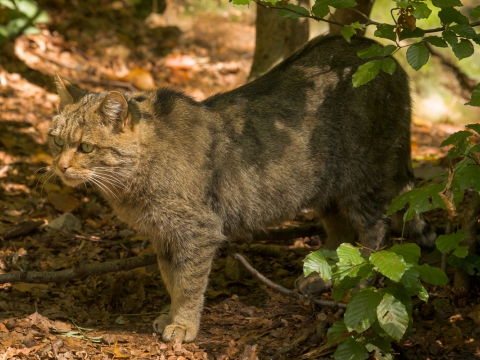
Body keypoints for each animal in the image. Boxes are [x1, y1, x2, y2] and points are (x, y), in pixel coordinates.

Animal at [47, 35, 436, 344]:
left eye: (85, 147)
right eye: (56, 141)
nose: (60, 166)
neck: (131, 182)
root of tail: (381, 52)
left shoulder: (197, 231)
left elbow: (188, 285)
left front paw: (183, 324)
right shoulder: (164, 236)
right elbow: (172, 280)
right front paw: (171, 315)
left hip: (362, 180)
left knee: (374, 232)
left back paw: (359, 284)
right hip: (324, 188)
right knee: (340, 234)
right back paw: (319, 277)